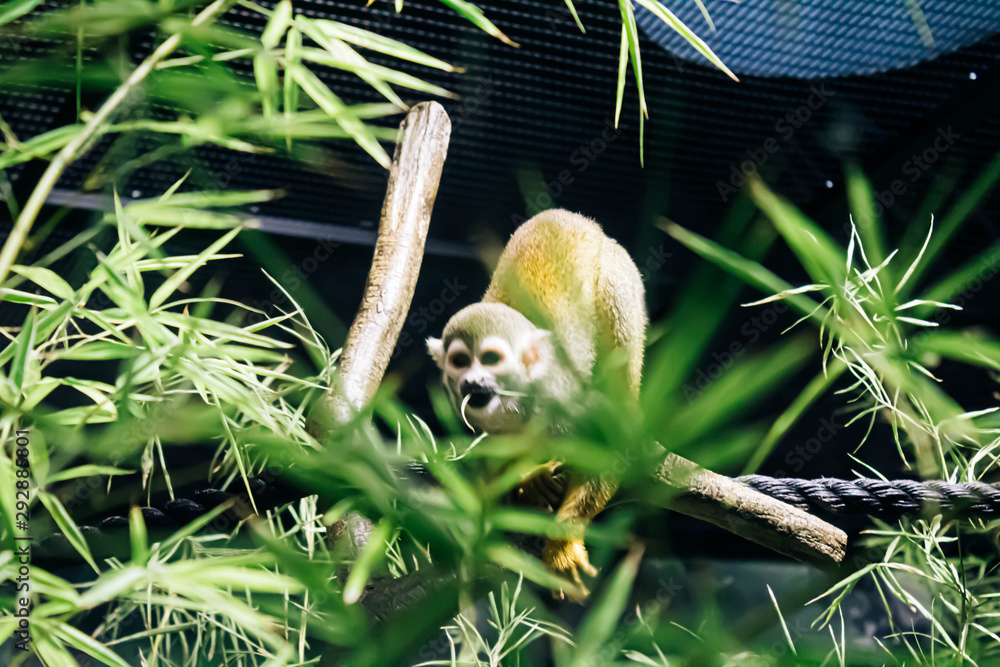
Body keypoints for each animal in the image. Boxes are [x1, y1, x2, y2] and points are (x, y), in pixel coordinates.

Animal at [427, 209, 647, 600]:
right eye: (460, 362)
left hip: (620, 273)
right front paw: (526, 479)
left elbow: (610, 446)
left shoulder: (565, 396)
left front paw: (562, 546)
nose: (472, 382)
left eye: (491, 359)